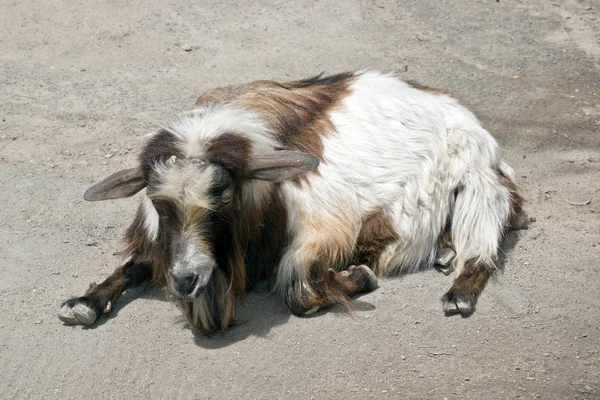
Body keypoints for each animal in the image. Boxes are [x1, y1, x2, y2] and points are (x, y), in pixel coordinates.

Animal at [57, 70, 524, 332]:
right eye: (158, 202)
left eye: (223, 196)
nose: (187, 281)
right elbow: (136, 264)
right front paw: (84, 303)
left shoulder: (320, 229)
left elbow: (299, 294)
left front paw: (359, 276)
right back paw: (444, 253)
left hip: (479, 183)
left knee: (482, 246)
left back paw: (459, 292)